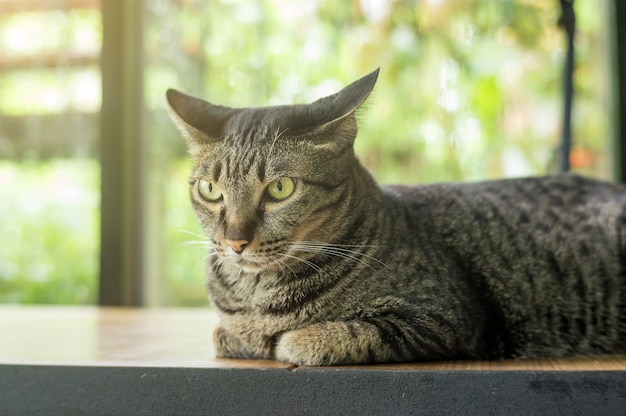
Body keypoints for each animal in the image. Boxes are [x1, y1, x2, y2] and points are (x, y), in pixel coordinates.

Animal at [166, 69, 624, 368]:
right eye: (209, 190)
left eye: (280, 189)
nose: (234, 241)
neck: (258, 294)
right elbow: (225, 333)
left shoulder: (444, 316)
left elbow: (343, 334)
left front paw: (291, 340)